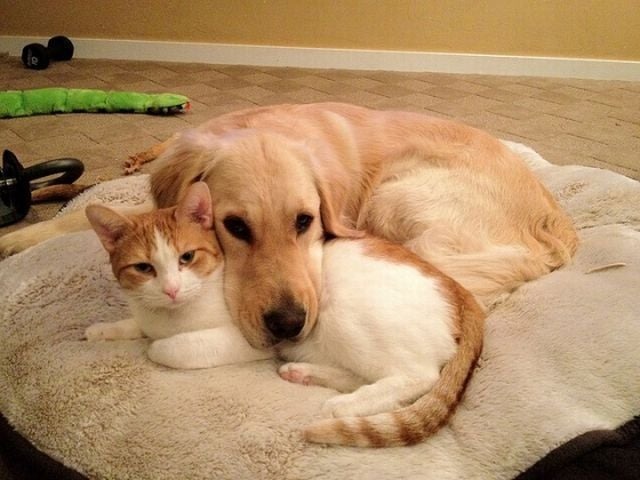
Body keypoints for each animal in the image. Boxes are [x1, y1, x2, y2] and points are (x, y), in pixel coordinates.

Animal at [0, 102, 576, 348]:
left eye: (305, 221)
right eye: (234, 226)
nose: (286, 325)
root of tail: (555, 232)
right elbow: (82, 216)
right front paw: (22, 235)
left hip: (396, 195)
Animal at [85, 182, 484, 448]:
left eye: (187, 258)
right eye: (144, 268)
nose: (171, 289)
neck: (169, 314)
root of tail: (461, 292)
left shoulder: (248, 339)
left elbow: (166, 348)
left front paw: (155, 345)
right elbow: (136, 325)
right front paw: (104, 330)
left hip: (344, 318)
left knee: (418, 376)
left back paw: (343, 406)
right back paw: (306, 373)